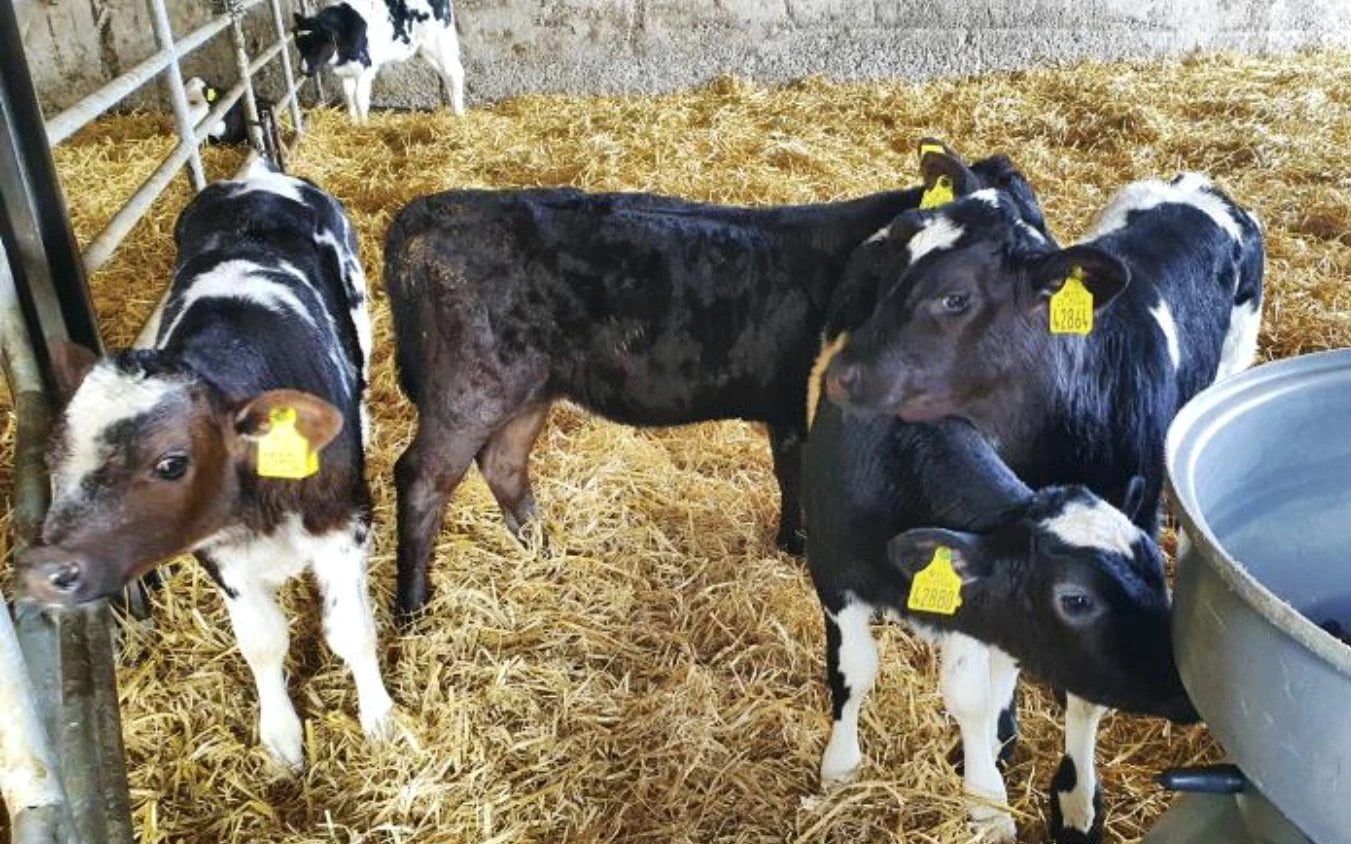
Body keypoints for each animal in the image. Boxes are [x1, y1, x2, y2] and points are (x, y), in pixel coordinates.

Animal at [16, 162, 391, 772]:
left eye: (172, 463)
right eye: (53, 456)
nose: (44, 572)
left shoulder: (342, 523)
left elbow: (352, 631)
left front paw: (380, 717)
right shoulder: (219, 553)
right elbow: (262, 643)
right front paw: (281, 736)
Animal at [292, 0, 465, 122]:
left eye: (315, 47)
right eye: (298, 46)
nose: (302, 70)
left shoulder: (365, 69)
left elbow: (359, 99)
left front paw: (364, 126)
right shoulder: (347, 71)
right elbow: (348, 96)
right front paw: (353, 123)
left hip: (438, 42)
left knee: (455, 73)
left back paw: (459, 114)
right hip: (427, 50)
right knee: (446, 74)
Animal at [381, 141, 1047, 619]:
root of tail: (427, 211)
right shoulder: (805, 406)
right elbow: (802, 478)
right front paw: (801, 549)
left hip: (528, 387)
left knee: (503, 464)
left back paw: (545, 553)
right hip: (469, 385)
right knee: (423, 478)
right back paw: (414, 608)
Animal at [819, 171, 1262, 840]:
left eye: (955, 298)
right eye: (887, 269)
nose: (841, 373)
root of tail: (1196, 182)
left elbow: (1074, 694)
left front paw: (1070, 799)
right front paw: (990, 748)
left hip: (1234, 364)